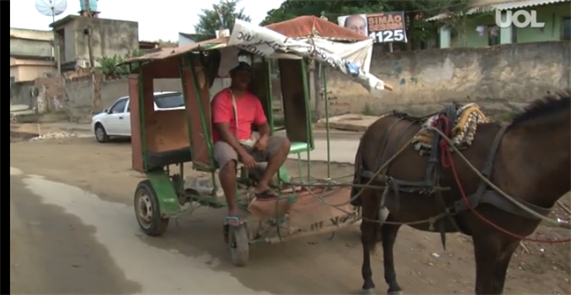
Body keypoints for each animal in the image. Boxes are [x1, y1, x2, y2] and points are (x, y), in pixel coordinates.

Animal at [354, 90, 571, 295]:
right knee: (366, 232)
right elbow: (484, 289)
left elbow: (497, 287)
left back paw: (393, 283)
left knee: (388, 234)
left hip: (403, 203)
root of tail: (376, 124)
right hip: (370, 192)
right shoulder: (487, 239)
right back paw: (368, 281)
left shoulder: (512, 241)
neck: (517, 163)